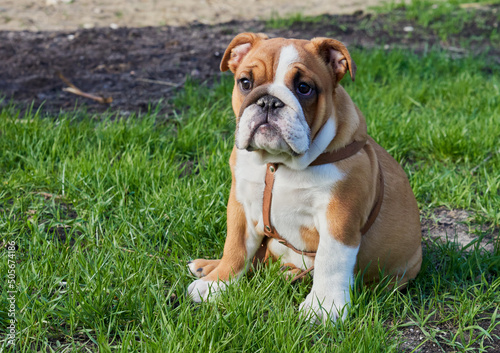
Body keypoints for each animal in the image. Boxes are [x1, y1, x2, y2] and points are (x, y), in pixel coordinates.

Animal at [188, 33, 422, 322]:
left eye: (304, 88)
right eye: (245, 83)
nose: (268, 101)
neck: (278, 163)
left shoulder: (338, 217)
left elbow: (330, 262)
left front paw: (323, 307)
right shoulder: (241, 204)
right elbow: (235, 248)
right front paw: (216, 284)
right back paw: (207, 267)